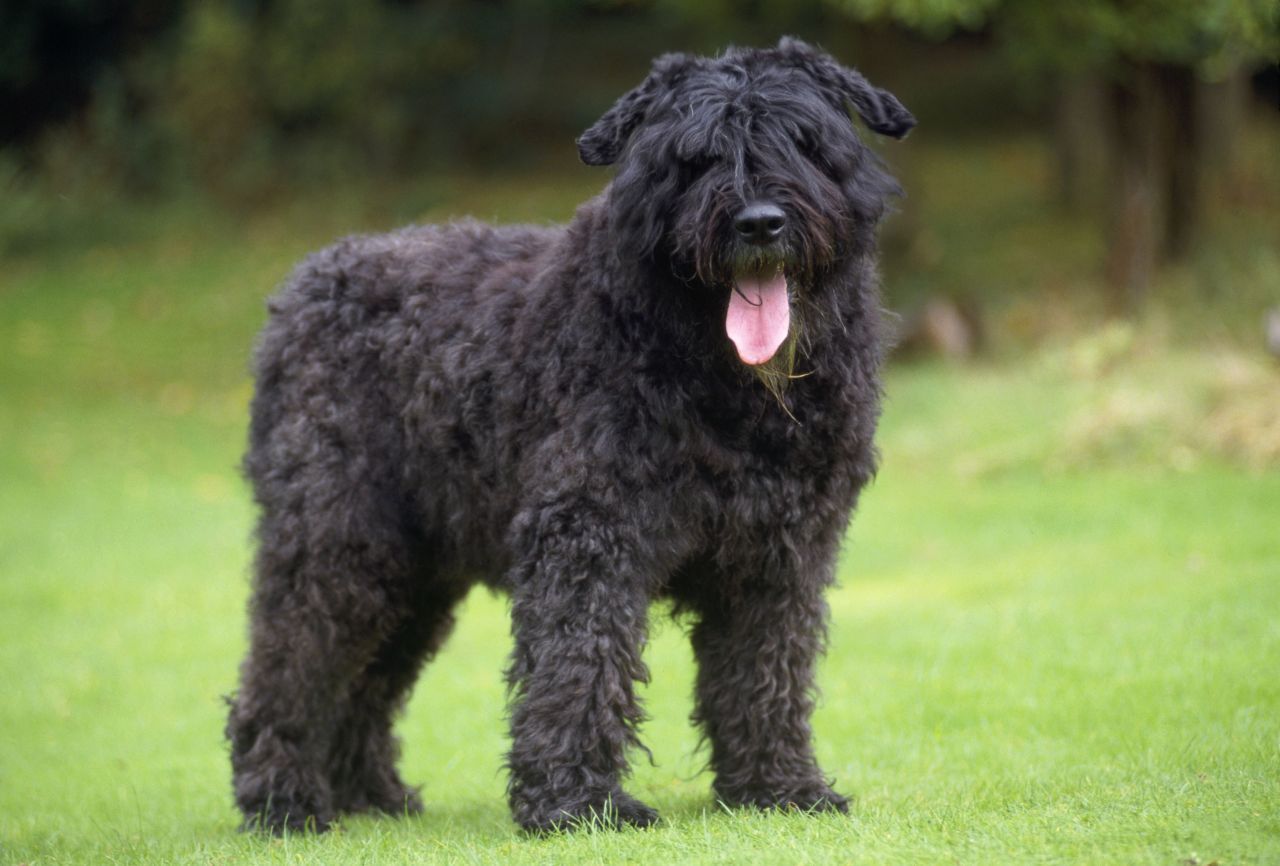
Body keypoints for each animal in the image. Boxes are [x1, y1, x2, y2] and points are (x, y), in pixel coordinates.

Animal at [227, 37, 911, 834]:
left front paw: (779, 788)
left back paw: (368, 794)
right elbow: (580, 660)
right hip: (341, 539)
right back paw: (283, 797)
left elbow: (767, 669)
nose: (759, 222)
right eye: (694, 157)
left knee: (367, 676)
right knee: (291, 661)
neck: (730, 388)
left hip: (417, 570)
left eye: (806, 141)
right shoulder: (590, 530)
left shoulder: (780, 553)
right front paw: (577, 802)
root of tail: (300, 289)